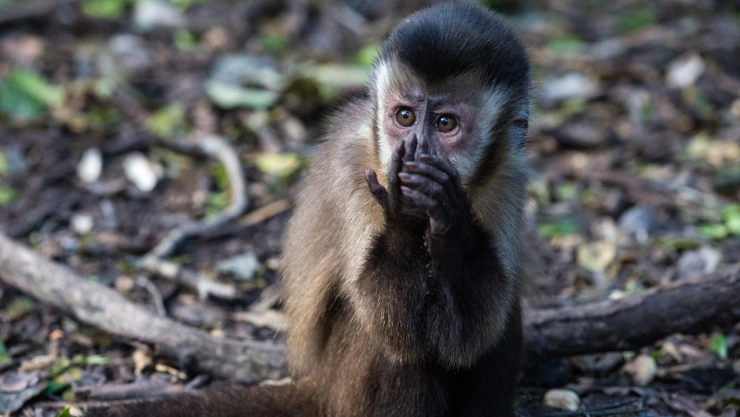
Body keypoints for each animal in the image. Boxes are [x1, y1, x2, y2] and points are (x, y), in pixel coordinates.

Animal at [83, 3, 532, 417]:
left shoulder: (508, 177)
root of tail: (315, 387)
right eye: (405, 116)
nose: (417, 150)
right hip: (342, 391)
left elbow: (470, 337)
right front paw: (403, 214)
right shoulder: (353, 169)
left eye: (445, 124)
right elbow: (395, 332)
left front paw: (446, 220)